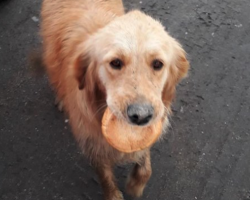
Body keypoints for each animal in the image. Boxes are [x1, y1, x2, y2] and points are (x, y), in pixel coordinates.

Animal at [40, 0, 189, 199]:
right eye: (116, 62)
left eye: (157, 64)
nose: (140, 116)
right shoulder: (93, 142)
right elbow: (105, 176)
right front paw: (113, 194)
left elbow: (145, 167)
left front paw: (135, 185)